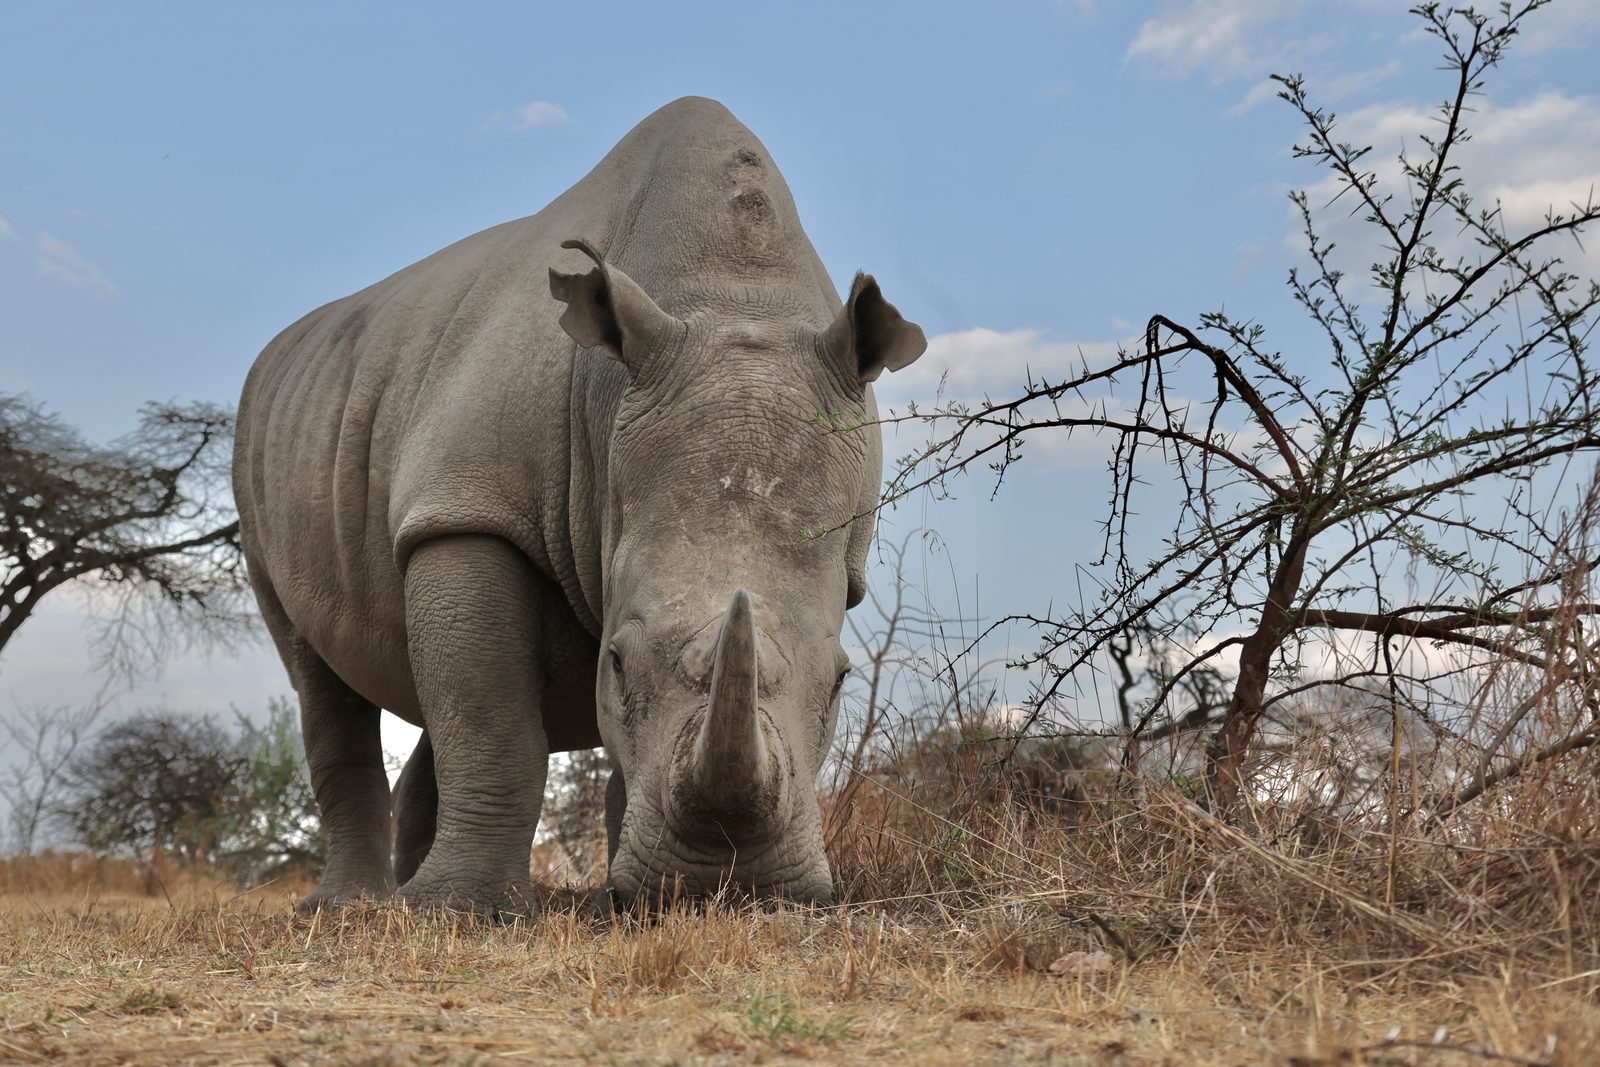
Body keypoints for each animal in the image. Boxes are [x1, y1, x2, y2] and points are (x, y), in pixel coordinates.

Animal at [233, 96, 926, 917]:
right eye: (617, 663)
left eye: (842, 680)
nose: (726, 889)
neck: (734, 296)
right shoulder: (467, 502)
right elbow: (491, 718)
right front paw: (460, 913)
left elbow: (503, 705)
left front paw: (623, 905)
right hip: (261, 457)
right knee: (319, 673)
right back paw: (353, 909)